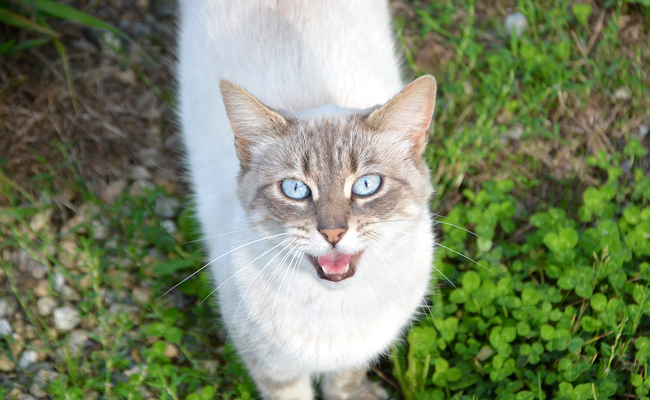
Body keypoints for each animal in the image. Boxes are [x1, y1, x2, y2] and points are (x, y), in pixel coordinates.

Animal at [177, 1, 436, 398]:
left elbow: (345, 382)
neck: (335, 305)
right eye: (295, 190)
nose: (332, 233)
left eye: (366, 185)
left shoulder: (355, 354)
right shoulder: (273, 368)